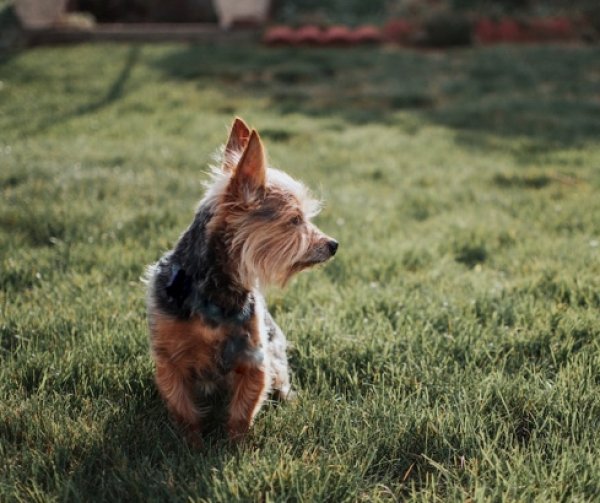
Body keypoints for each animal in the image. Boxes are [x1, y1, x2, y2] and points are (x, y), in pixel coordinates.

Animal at [143, 119, 336, 444]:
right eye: (295, 220)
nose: (334, 244)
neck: (215, 292)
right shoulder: (169, 359)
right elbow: (183, 409)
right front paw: (191, 446)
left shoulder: (254, 358)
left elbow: (242, 411)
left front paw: (235, 448)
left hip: (276, 357)